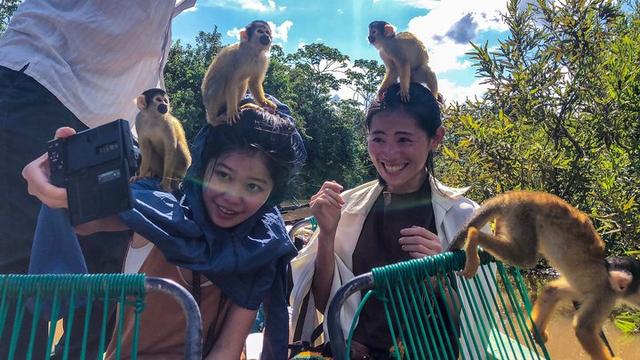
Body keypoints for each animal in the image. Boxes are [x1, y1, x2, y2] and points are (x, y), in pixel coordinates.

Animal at [450, 191, 640, 360]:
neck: (607, 273)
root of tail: (513, 195)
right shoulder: (605, 296)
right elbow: (583, 329)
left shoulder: (583, 290)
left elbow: (552, 290)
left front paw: (536, 331)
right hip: (522, 217)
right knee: (525, 258)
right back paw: (474, 235)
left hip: (511, 219)